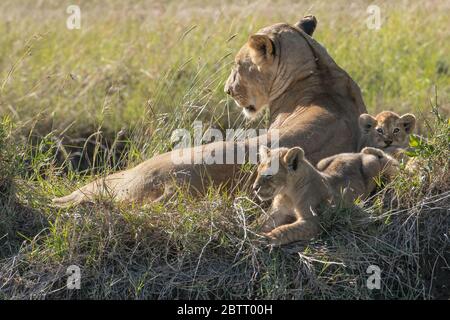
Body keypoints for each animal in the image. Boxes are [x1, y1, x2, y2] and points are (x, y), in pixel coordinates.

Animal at [253, 146, 398, 245]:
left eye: (268, 175)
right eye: (258, 171)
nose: (254, 188)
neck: (287, 194)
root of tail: (361, 154)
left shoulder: (314, 221)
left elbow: (287, 230)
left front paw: (268, 238)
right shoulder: (278, 212)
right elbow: (263, 222)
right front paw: (252, 231)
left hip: (372, 168)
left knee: (389, 162)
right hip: (322, 162)